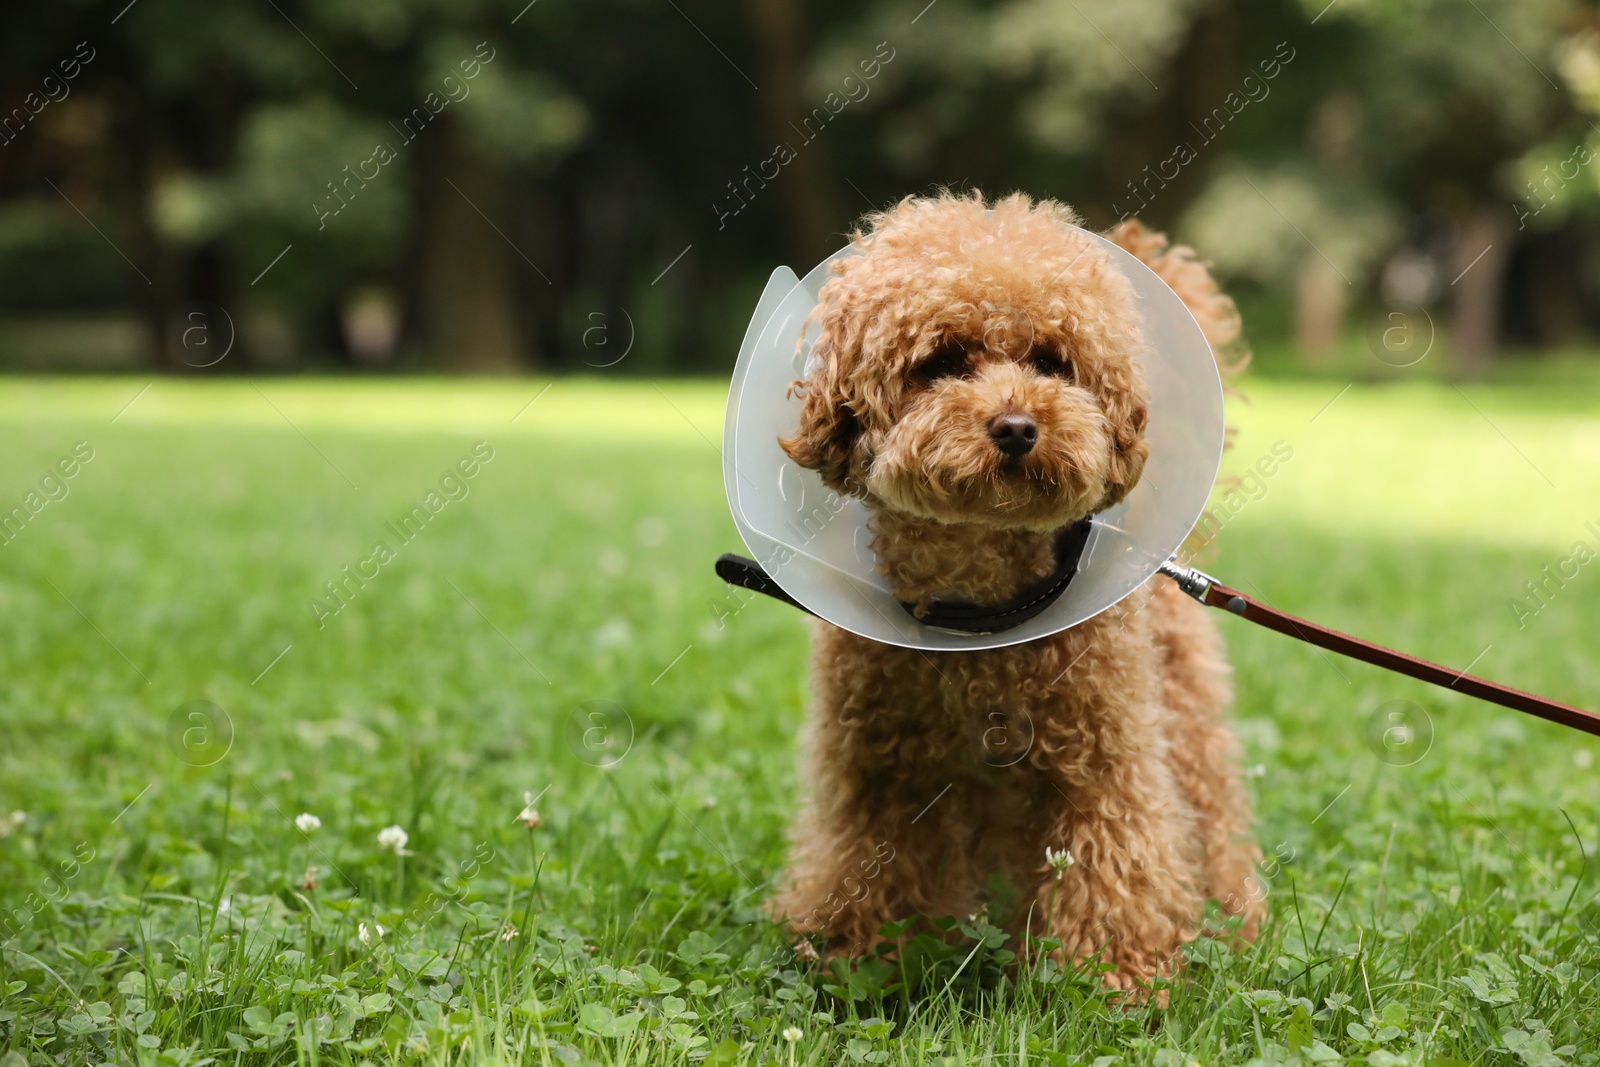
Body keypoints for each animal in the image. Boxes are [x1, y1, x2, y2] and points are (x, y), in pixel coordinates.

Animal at [764, 189, 1260, 991]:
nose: (1019, 426)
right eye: (941, 361)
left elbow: (1116, 858)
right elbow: (868, 861)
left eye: (1053, 362)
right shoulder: (883, 768)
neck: (981, 613)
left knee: (1210, 814)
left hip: (1181, 713)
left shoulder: (1104, 761)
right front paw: (859, 957)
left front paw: (1111, 977)